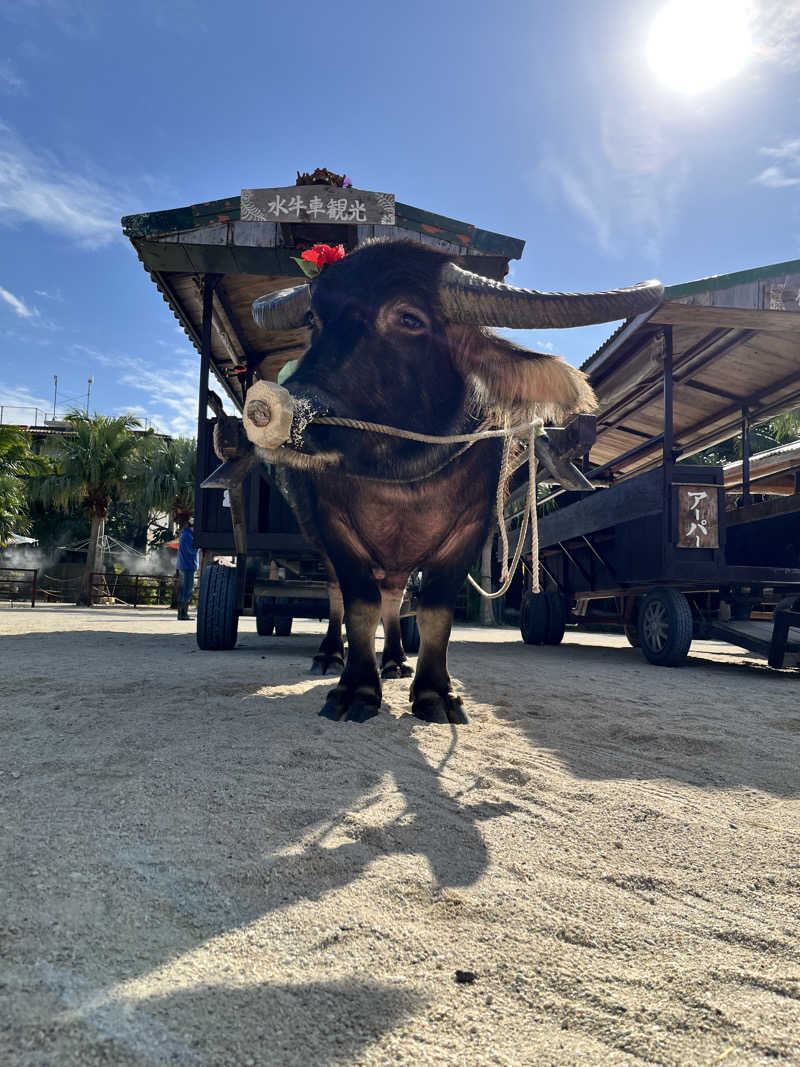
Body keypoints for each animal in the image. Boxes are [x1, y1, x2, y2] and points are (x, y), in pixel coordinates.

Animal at [244, 240, 665, 725]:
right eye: (314, 318)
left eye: (409, 318)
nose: (286, 407)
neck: (401, 477)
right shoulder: (333, 526)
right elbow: (359, 605)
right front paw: (356, 689)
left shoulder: (469, 531)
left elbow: (435, 613)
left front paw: (434, 692)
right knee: (339, 594)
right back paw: (331, 654)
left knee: (395, 596)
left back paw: (396, 660)